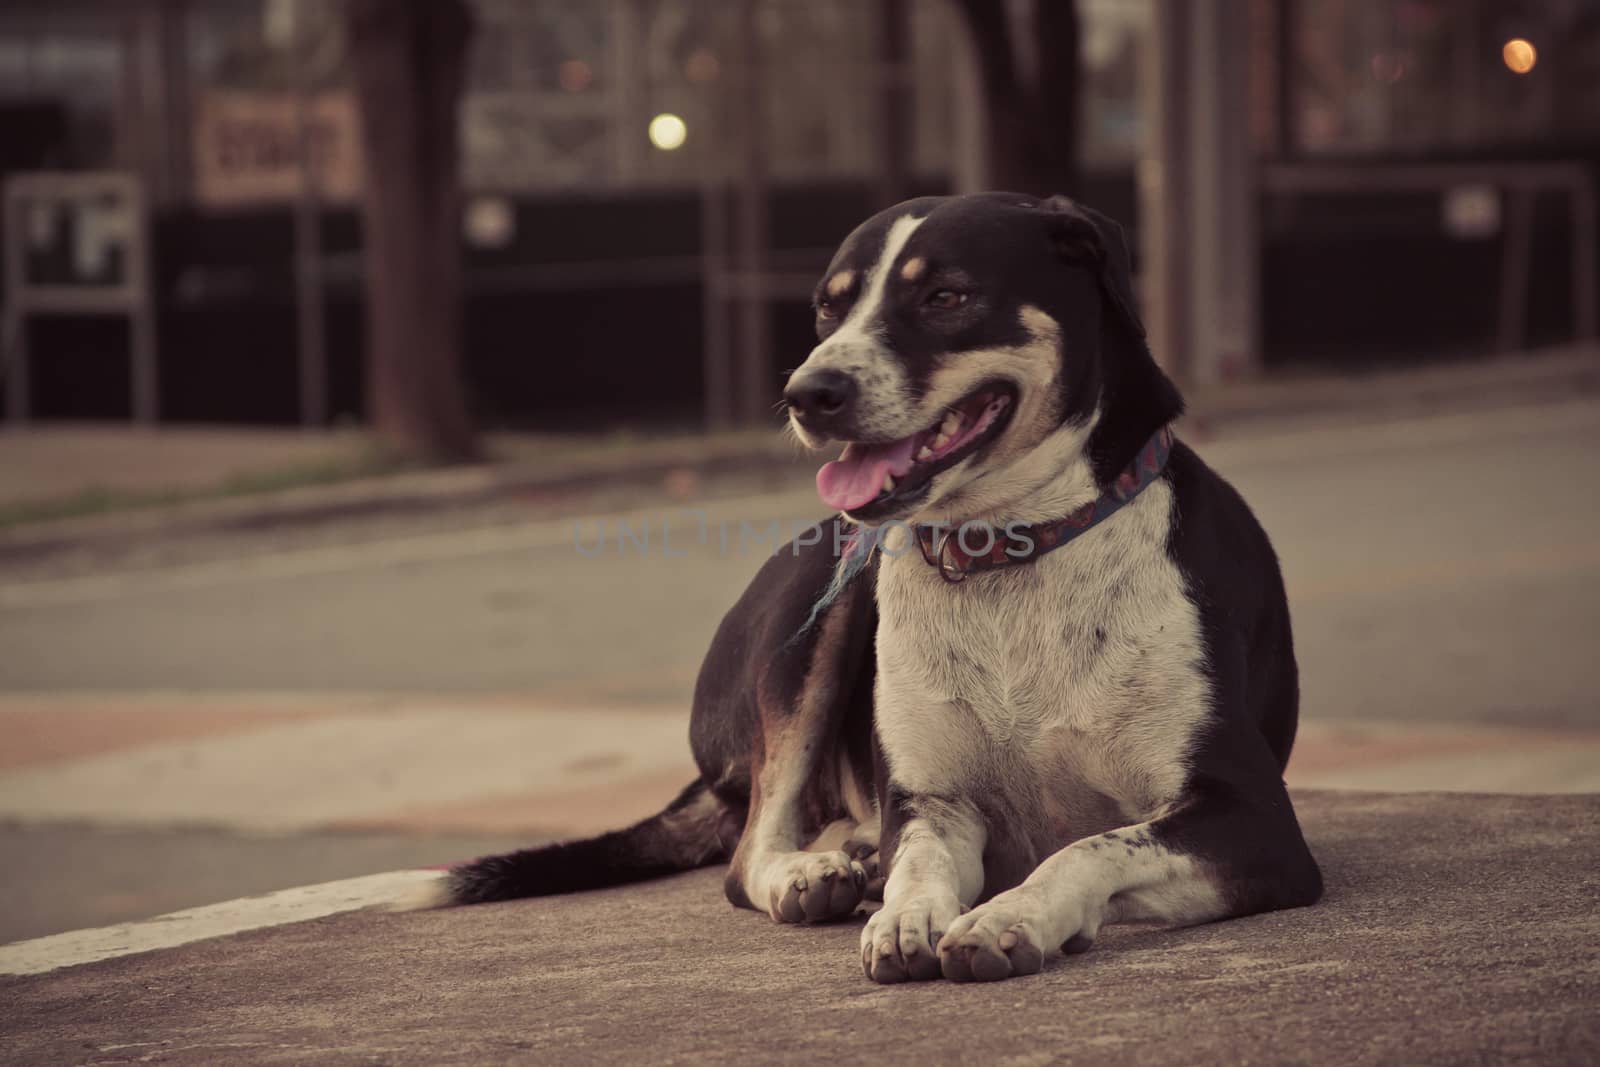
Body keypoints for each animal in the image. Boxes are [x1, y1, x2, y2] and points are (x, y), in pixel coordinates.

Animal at [403, 194, 1324, 985]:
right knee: (749, 853)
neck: (1012, 552)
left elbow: (1092, 846)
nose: (808, 392)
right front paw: (906, 914)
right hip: (820, 604)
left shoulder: (1253, 820)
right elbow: (915, 862)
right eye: (826, 309)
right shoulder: (933, 804)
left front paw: (1008, 916)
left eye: (947, 295)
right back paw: (813, 871)